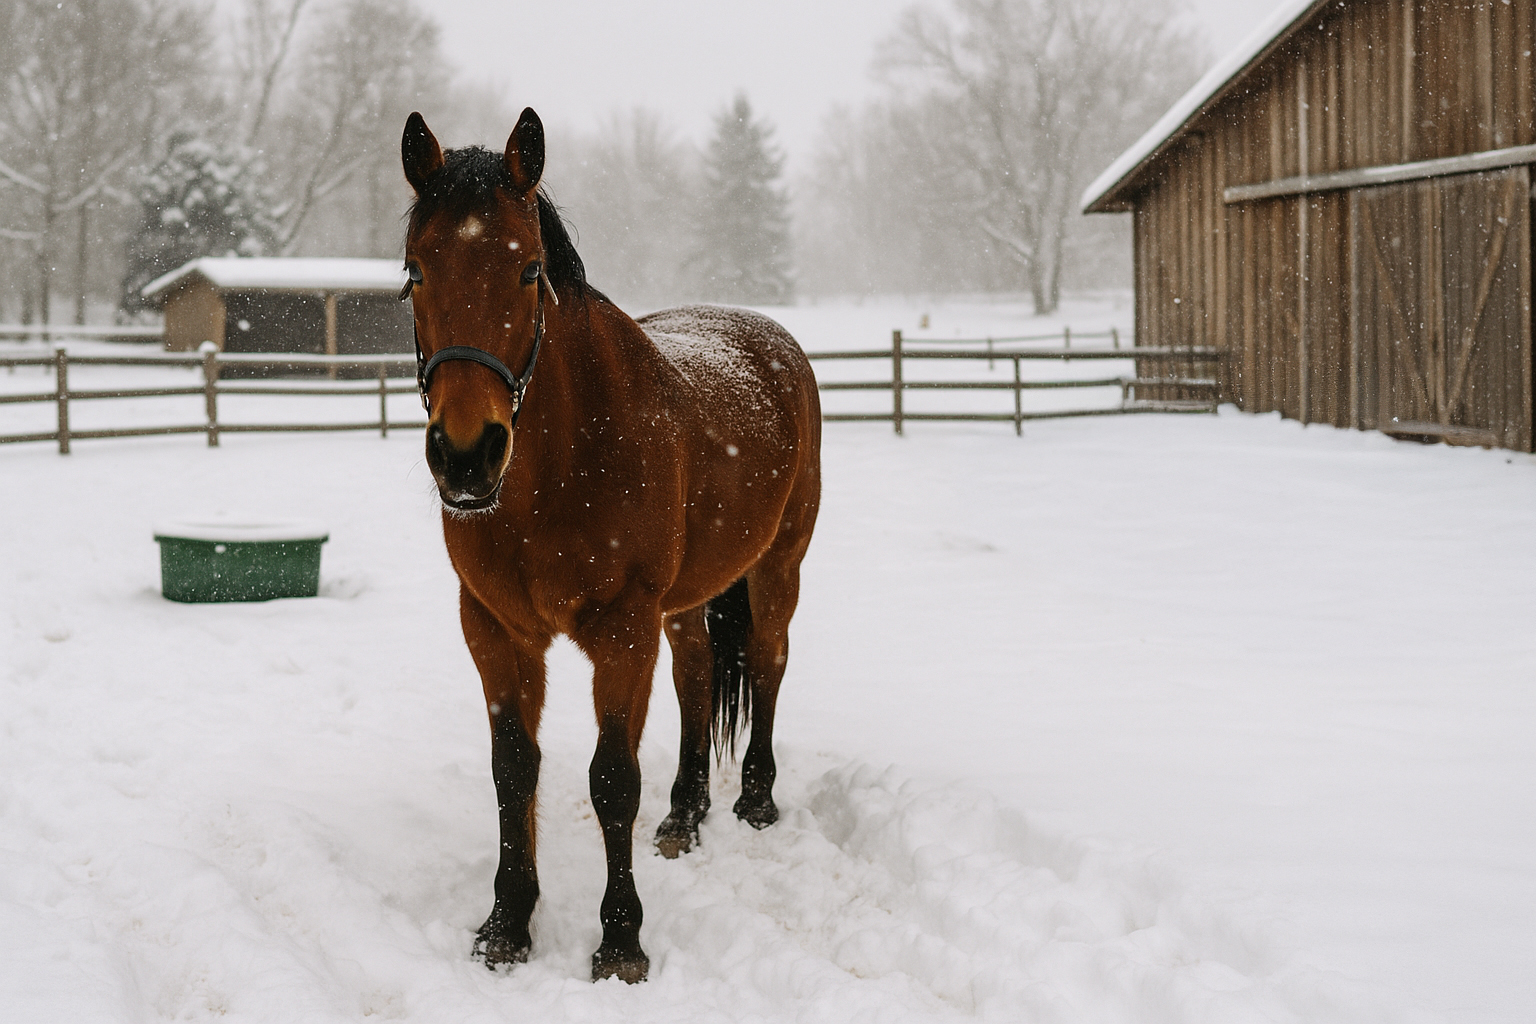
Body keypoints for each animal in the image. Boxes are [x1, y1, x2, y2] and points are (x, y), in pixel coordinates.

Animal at [399, 108, 821, 984]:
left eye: (528, 271)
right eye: (417, 272)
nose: (466, 456)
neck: (559, 468)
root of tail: (771, 341)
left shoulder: (623, 630)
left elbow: (611, 778)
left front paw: (621, 939)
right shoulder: (494, 630)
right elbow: (514, 768)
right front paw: (507, 923)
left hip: (778, 568)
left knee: (767, 662)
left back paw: (754, 799)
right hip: (687, 604)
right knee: (699, 675)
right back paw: (685, 811)